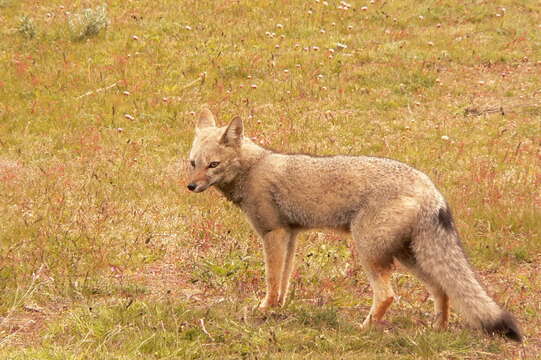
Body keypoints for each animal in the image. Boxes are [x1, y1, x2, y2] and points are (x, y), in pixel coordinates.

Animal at [185, 108, 520, 342]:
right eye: (193, 163)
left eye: (213, 165)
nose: (190, 186)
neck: (254, 167)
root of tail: (430, 187)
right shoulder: (290, 235)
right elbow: (284, 280)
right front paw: (278, 307)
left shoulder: (273, 233)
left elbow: (271, 279)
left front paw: (264, 308)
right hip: (409, 257)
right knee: (442, 288)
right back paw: (437, 329)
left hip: (370, 252)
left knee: (388, 295)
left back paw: (364, 328)